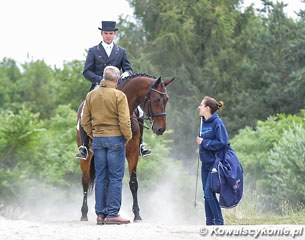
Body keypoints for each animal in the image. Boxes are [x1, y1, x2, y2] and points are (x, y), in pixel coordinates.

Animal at [76, 73, 173, 221]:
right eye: (156, 99)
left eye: (166, 99)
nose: (161, 129)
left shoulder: (132, 152)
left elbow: (133, 183)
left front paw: (137, 215)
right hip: (87, 156)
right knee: (85, 180)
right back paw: (84, 214)